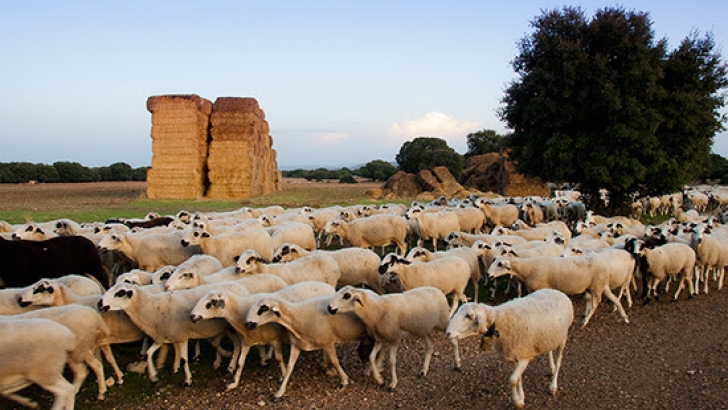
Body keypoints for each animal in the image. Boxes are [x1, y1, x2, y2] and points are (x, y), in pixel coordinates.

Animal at [98, 281, 251, 387]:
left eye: (120, 293)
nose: (100, 303)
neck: (151, 307)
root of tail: (240, 286)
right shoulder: (164, 335)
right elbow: (149, 353)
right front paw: (155, 376)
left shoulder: (181, 335)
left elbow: (184, 359)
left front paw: (187, 380)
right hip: (228, 328)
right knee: (236, 344)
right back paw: (230, 366)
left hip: (232, 327)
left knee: (237, 344)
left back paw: (230, 364)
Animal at [189, 281, 336, 391]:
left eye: (211, 303)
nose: (191, 316)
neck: (239, 314)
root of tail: (327, 286)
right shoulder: (247, 341)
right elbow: (240, 363)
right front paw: (233, 383)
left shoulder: (274, 339)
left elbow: (279, 358)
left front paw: (283, 375)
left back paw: (327, 362)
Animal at [326, 285, 460, 391]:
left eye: (347, 295)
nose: (329, 308)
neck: (377, 310)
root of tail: (438, 290)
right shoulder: (380, 339)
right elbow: (371, 357)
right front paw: (379, 379)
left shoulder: (394, 339)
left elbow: (391, 361)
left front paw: (393, 384)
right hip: (422, 329)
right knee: (430, 346)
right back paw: (423, 370)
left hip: (443, 322)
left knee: (453, 340)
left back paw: (457, 364)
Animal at [445, 288, 574, 409]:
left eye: (468, 316)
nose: (447, 333)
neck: (499, 321)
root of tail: (556, 291)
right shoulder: (515, 353)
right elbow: (518, 379)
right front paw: (521, 397)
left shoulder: (523, 355)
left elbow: (512, 380)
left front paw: (517, 402)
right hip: (549, 336)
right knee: (549, 351)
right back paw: (551, 368)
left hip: (563, 337)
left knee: (559, 360)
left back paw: (553, 386)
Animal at [487, 254, 629, 326]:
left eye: (500, 264)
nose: (488, 274)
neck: (526, 269)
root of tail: (607, 267)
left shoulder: (540, 289)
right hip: (599, 285)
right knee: (614, 299)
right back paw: (624, 317)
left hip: (596, 286)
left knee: (595, 303)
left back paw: (585, 320)